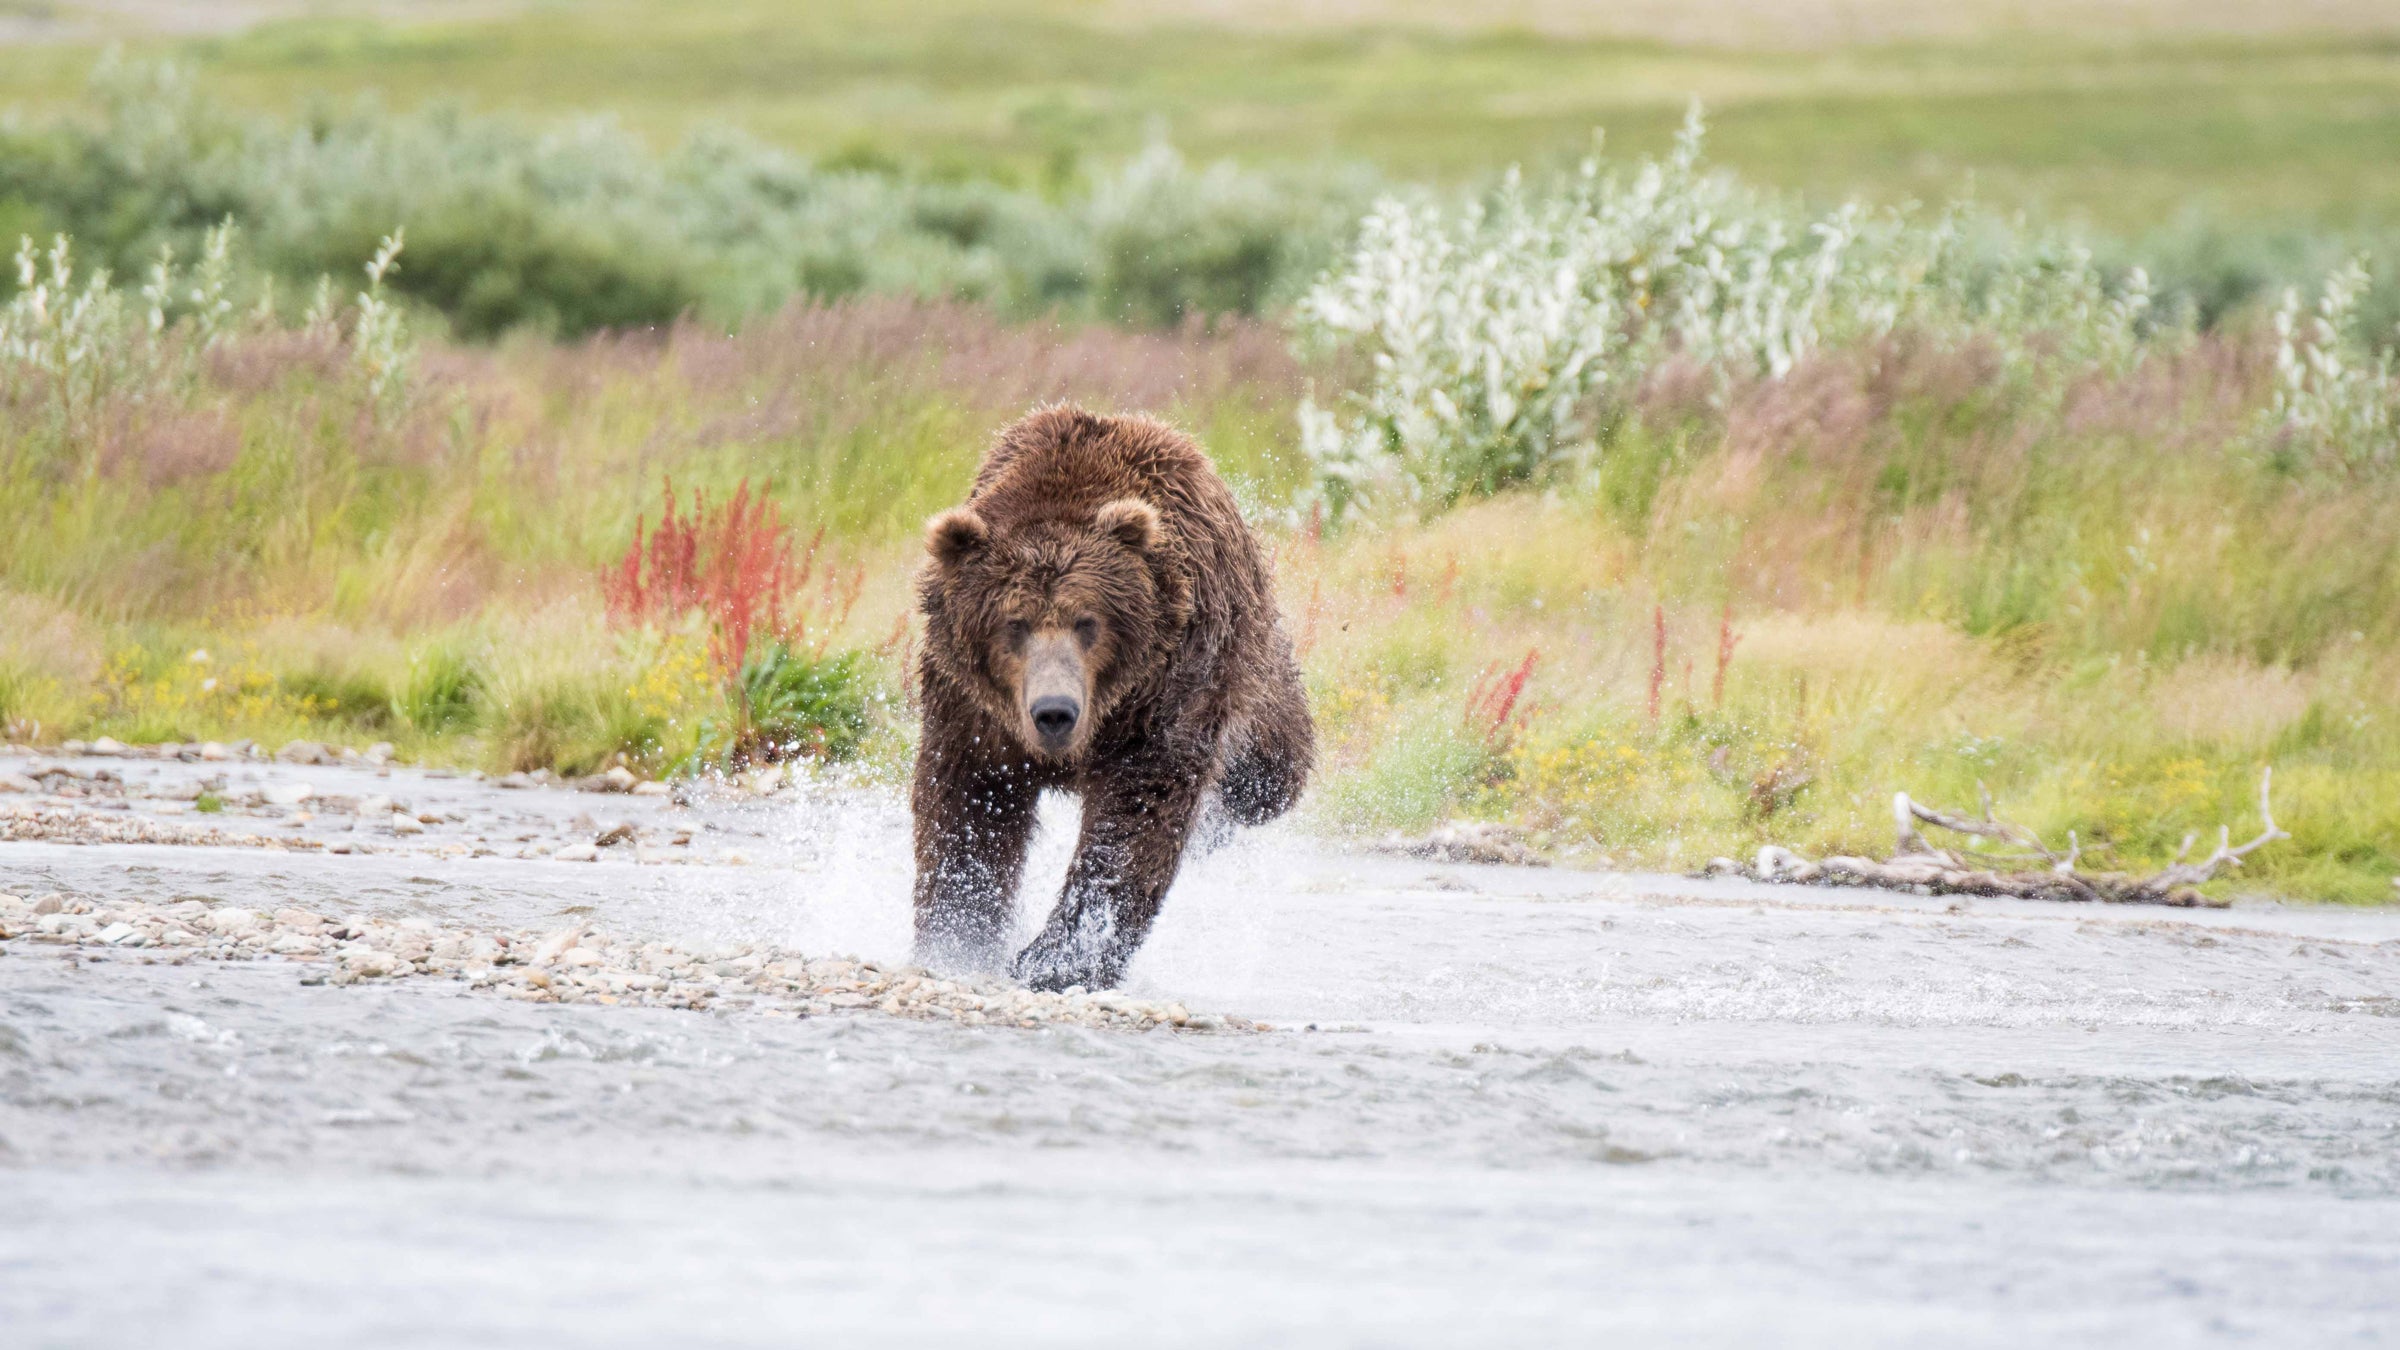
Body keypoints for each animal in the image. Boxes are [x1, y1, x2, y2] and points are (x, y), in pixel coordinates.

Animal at [902, 401, 1315, 989]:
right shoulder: (973, 710)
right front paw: (955, 939)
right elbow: (970, 809)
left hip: (1250, 667)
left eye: (1087, 621)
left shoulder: (1166, 687)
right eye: (1013, 624)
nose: (1054, 712)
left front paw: (1054, 960)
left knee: (1268, 773)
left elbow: (1133, 815)